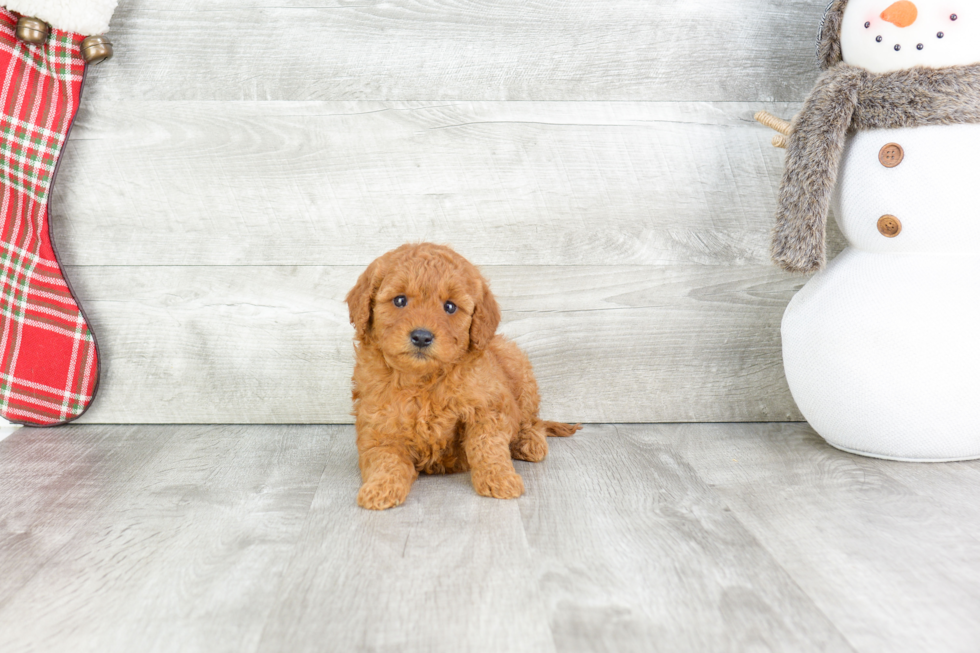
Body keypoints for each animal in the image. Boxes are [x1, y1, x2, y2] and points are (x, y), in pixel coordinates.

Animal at [344, 243, 580, 510]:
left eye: (450, 307)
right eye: (400, 300)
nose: (422, 336)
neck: (423, 380)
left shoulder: (488, 407)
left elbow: (487, 445)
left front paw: (500, 478)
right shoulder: (379, 424)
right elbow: (385, 458)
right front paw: (380, 488)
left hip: (519, 370)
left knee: (531, 420)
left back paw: (530, 442)